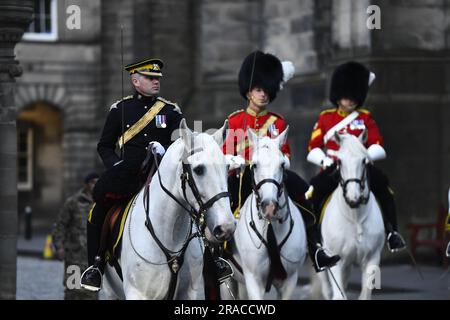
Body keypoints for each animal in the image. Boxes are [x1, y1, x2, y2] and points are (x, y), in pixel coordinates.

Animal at [101, 119, 236, 298]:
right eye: (198, 169)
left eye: (227, 167)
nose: (227, 226)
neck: (169, 235)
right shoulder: (137, 293)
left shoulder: (192, 293)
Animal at [223, 128, 308, 300]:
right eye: (254, 165)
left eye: (282, 164)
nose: (269, 206)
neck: (271, 225)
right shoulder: (253, 280)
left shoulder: (290, 281)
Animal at [318, 132, 384, 300]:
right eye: (339, 161)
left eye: (364, 160)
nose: (353, 198)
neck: (355, 218)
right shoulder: (334, 259)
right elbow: (338, 295)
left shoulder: (372, 257)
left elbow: (365, 294)